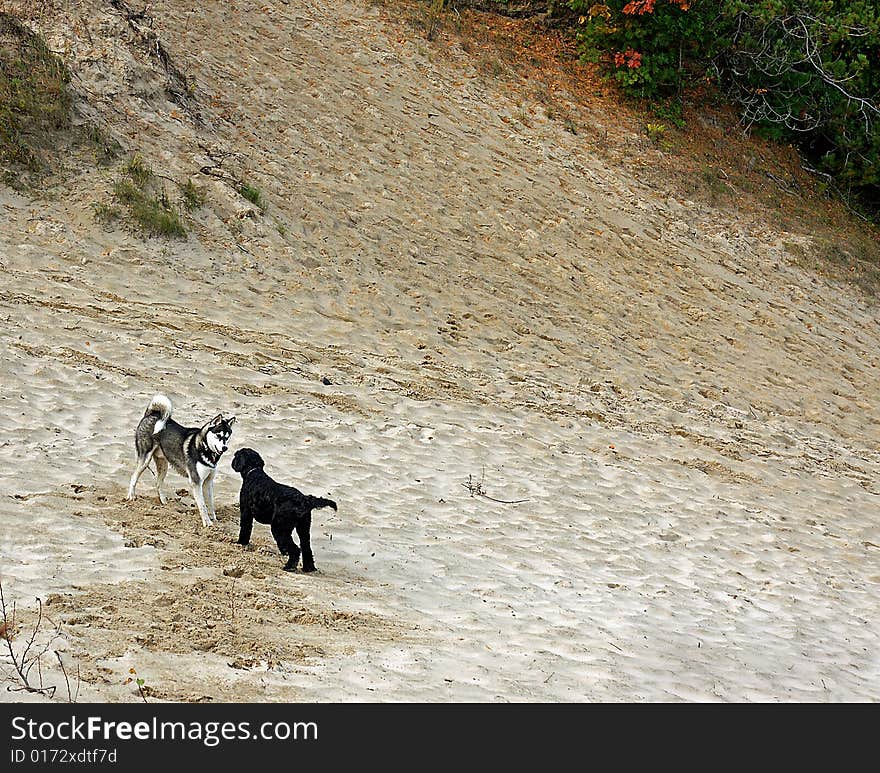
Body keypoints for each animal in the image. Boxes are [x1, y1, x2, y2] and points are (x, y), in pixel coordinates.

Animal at [127, 396, 235, 528]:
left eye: (227, 437)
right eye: (218, 435)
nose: (225, 448)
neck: (204, 448)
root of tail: (151, 414)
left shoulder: (208, 482)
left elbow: (211, 504)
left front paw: (214, 520)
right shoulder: (196, 482)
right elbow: (202, 506)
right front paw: (207, 523)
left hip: (164, 465)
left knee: (158, 483)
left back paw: (164, 502)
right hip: (145, 461)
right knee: (134, 477)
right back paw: (131, 496)